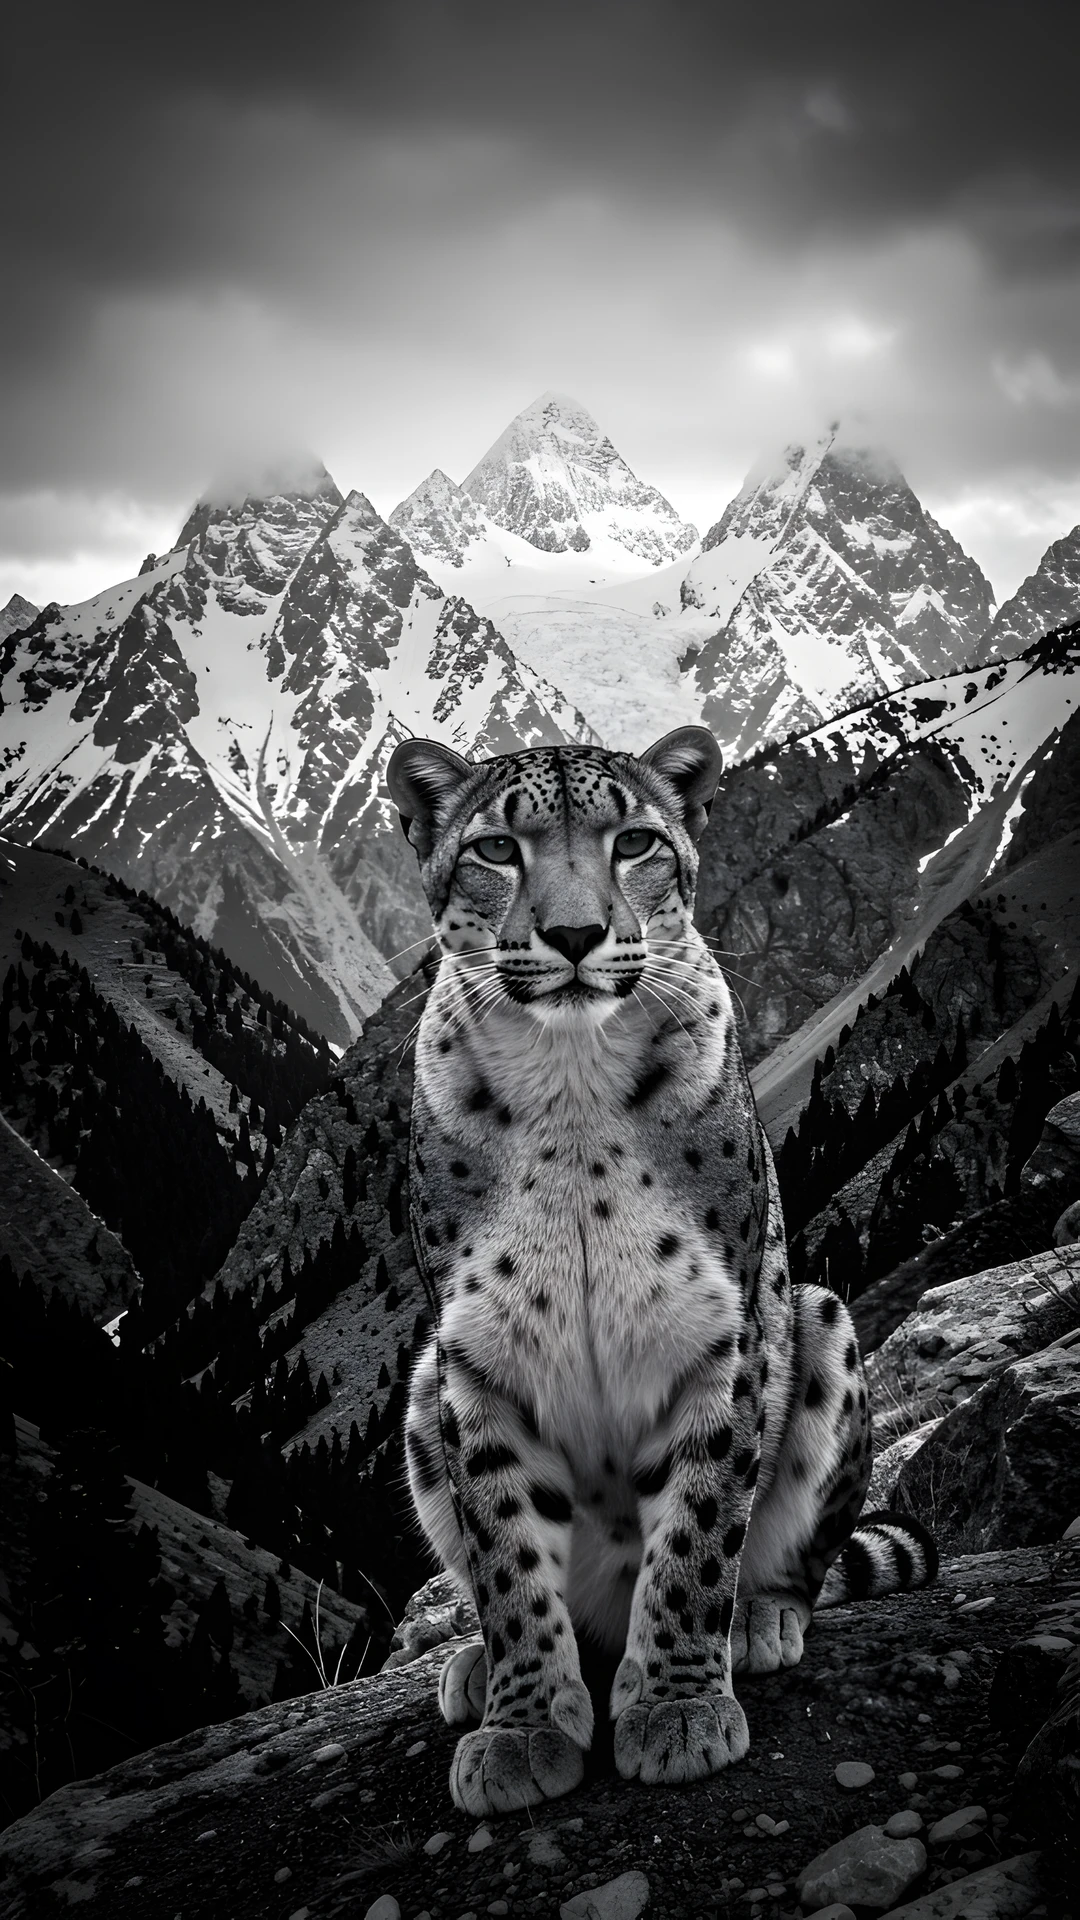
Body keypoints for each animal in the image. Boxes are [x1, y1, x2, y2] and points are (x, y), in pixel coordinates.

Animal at [386, 726, 936, 1818]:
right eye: (496, 849)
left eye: (633, 839)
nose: (575, 933)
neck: (570, 1085)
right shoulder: (477, 1357)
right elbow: (506, 1551)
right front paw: (523, 1726)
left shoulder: (712, 1335)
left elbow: (694, 1533)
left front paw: (677, 1709)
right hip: (424, 1389)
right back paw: (473, 1667)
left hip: (821, 1318)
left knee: (799, 1556)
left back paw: (761, 1622)